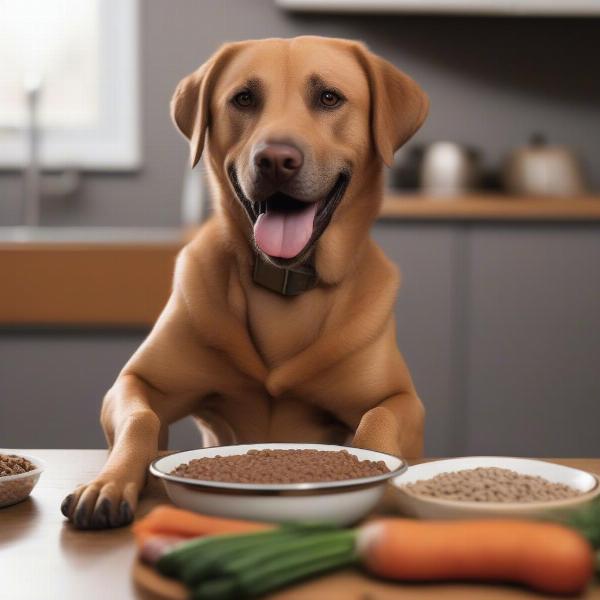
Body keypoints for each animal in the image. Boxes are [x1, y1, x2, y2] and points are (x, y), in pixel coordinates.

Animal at [61, 35, 426, 528]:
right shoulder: (137, 383)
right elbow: (141, 421)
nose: (276, 160)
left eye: (329, 98)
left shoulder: (402, 399)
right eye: (244, 98)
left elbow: (377, 422)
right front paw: (109, 483)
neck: (286, 282)